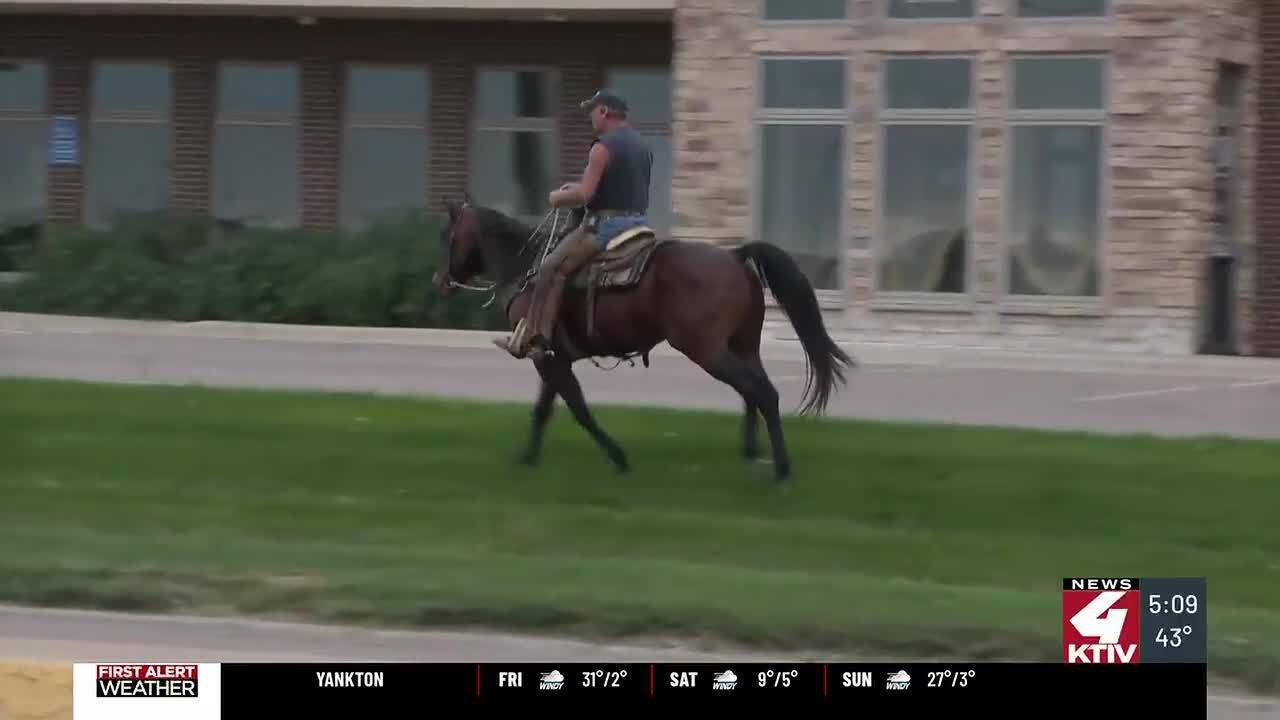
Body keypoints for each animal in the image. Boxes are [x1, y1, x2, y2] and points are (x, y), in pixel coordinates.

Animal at [432, 198, 855, 482]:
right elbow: (545, 409)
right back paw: (753, 453)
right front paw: (527, 456)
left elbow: (578, 409)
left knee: (762, 392)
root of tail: (735, 257)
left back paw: (780, 468)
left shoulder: (547, 358)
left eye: (448, 235)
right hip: (742, 345)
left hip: (707, 349)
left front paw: (617, 456)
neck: (526, 267)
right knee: (755, 390)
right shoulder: (554, 356)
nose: (440, 281)